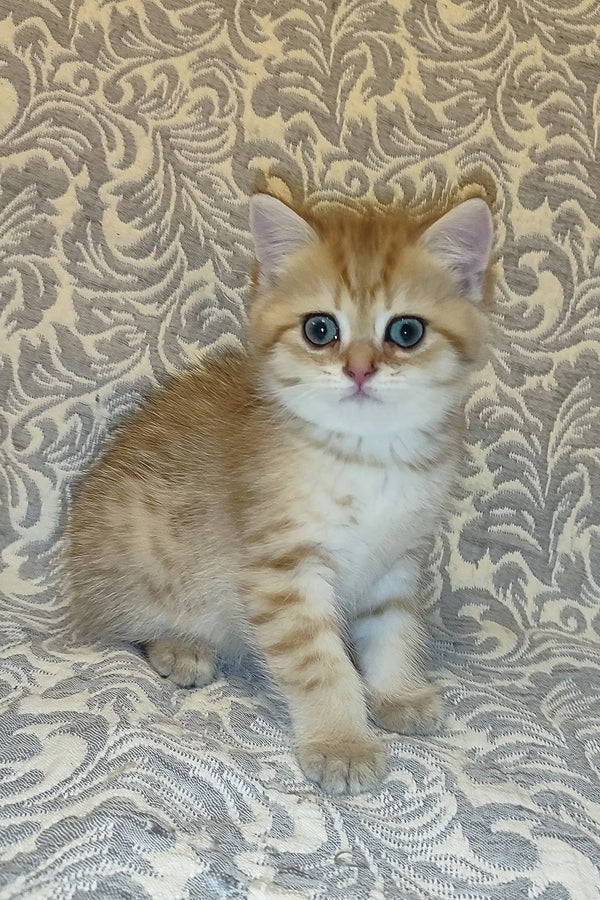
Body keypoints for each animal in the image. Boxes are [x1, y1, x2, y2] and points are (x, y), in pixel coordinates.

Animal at [68, 195, 494, 796]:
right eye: (320, 328)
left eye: (406, 331)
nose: (359, 369)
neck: (369, 458)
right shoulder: (282, 570)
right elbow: (321, 664)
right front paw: (342, 742)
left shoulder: (398, 561)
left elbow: (393, 630)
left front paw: (397, 693)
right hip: (137, 547)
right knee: (127, 626)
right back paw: (180, 646)